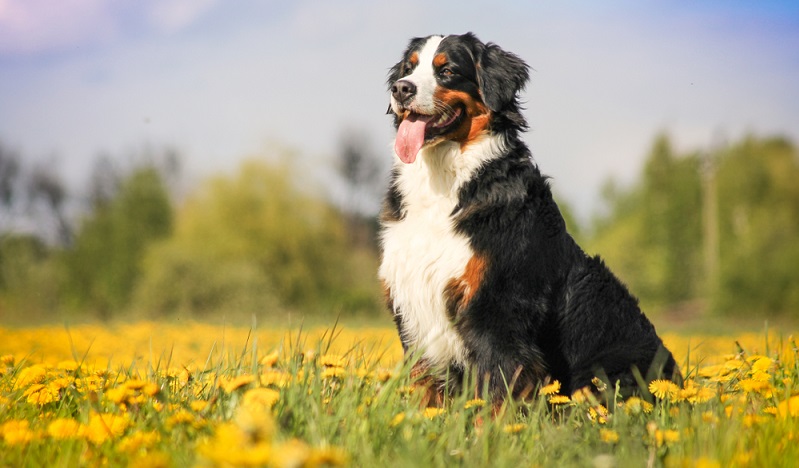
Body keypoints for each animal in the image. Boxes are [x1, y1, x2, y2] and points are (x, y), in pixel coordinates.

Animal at [378, 33, 680, 406]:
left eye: (446, 70)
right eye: (409, 68)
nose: (401, 89)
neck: (444, 181)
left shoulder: (497, 310)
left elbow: (495, 394)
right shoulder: (414, 307)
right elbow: (424, 391)